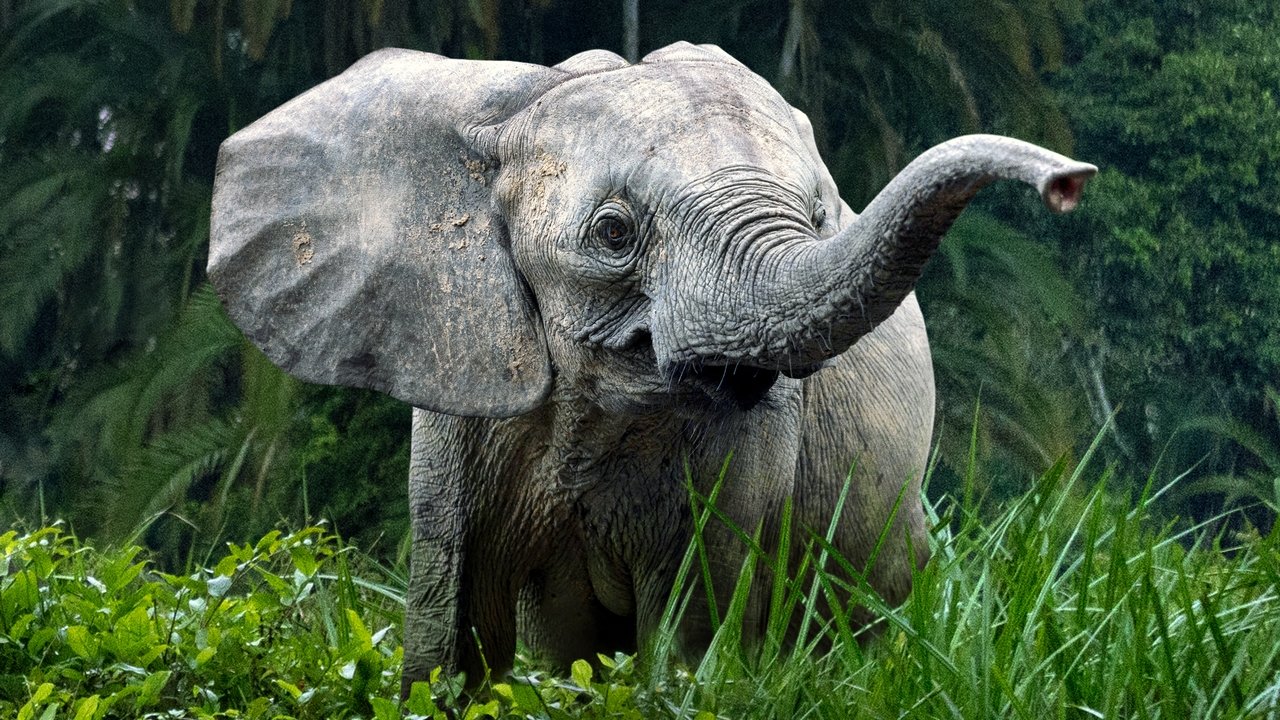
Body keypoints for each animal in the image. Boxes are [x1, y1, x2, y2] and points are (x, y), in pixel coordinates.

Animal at [207, 42, 1095, 695]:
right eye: (612, 232)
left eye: (819, 219)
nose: (1069, 182)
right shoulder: (462, 380)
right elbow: (453, 630)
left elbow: (690, 627)